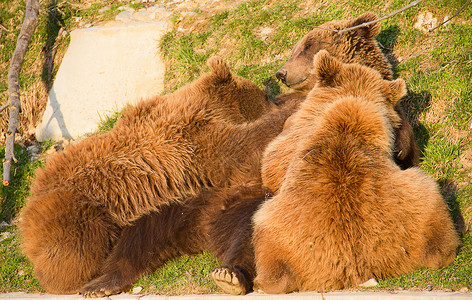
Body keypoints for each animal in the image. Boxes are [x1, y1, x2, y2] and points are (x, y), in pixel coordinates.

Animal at [21, 56, 296, 296]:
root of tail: (26, 215)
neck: (213, 107)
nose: (275, 99)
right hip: (76, 210)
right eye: (263, 96)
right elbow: (244, 149)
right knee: (78, 251)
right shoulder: (192, 142)